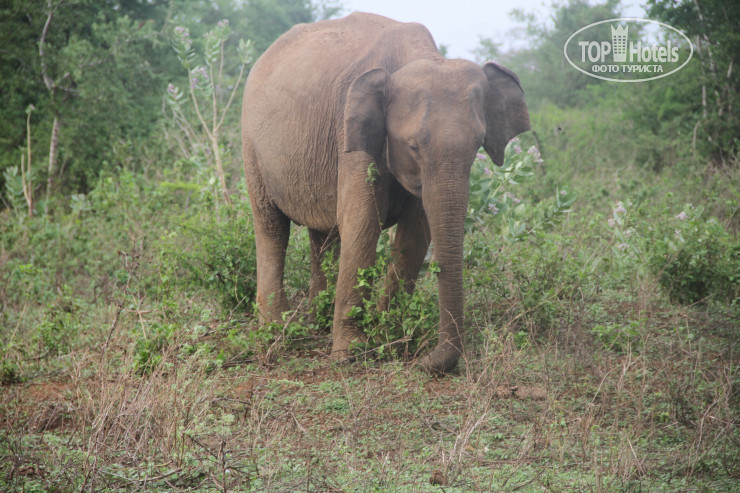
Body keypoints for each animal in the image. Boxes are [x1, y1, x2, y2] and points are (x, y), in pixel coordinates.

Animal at [240, 10, 528, 372]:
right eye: (413, 146)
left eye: (479, 145)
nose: (424, 362)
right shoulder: (352, 133)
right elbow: (363, 221)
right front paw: (352, 354)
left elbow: (416, 232)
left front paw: (389, 339)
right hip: (252, 145)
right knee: (271, 227)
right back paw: (276, 335)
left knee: (324, 235)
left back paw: (318, 324)